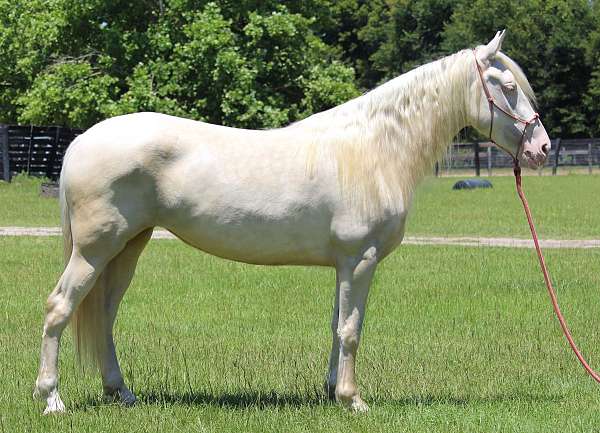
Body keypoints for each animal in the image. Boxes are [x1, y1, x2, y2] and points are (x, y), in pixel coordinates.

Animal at [32, 32, 548, 414]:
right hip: (95, 249)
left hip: (127, 247)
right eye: (506, 86)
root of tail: (81, 141)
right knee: (60, 307)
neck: (373, 150)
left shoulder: (345, 265)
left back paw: (121, 393)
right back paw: (52, 398)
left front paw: (331, 391)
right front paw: (352, 399)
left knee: (103, 315)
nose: (540, 148)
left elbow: (337, 325)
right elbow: (351, 329)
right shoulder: (361, 260)